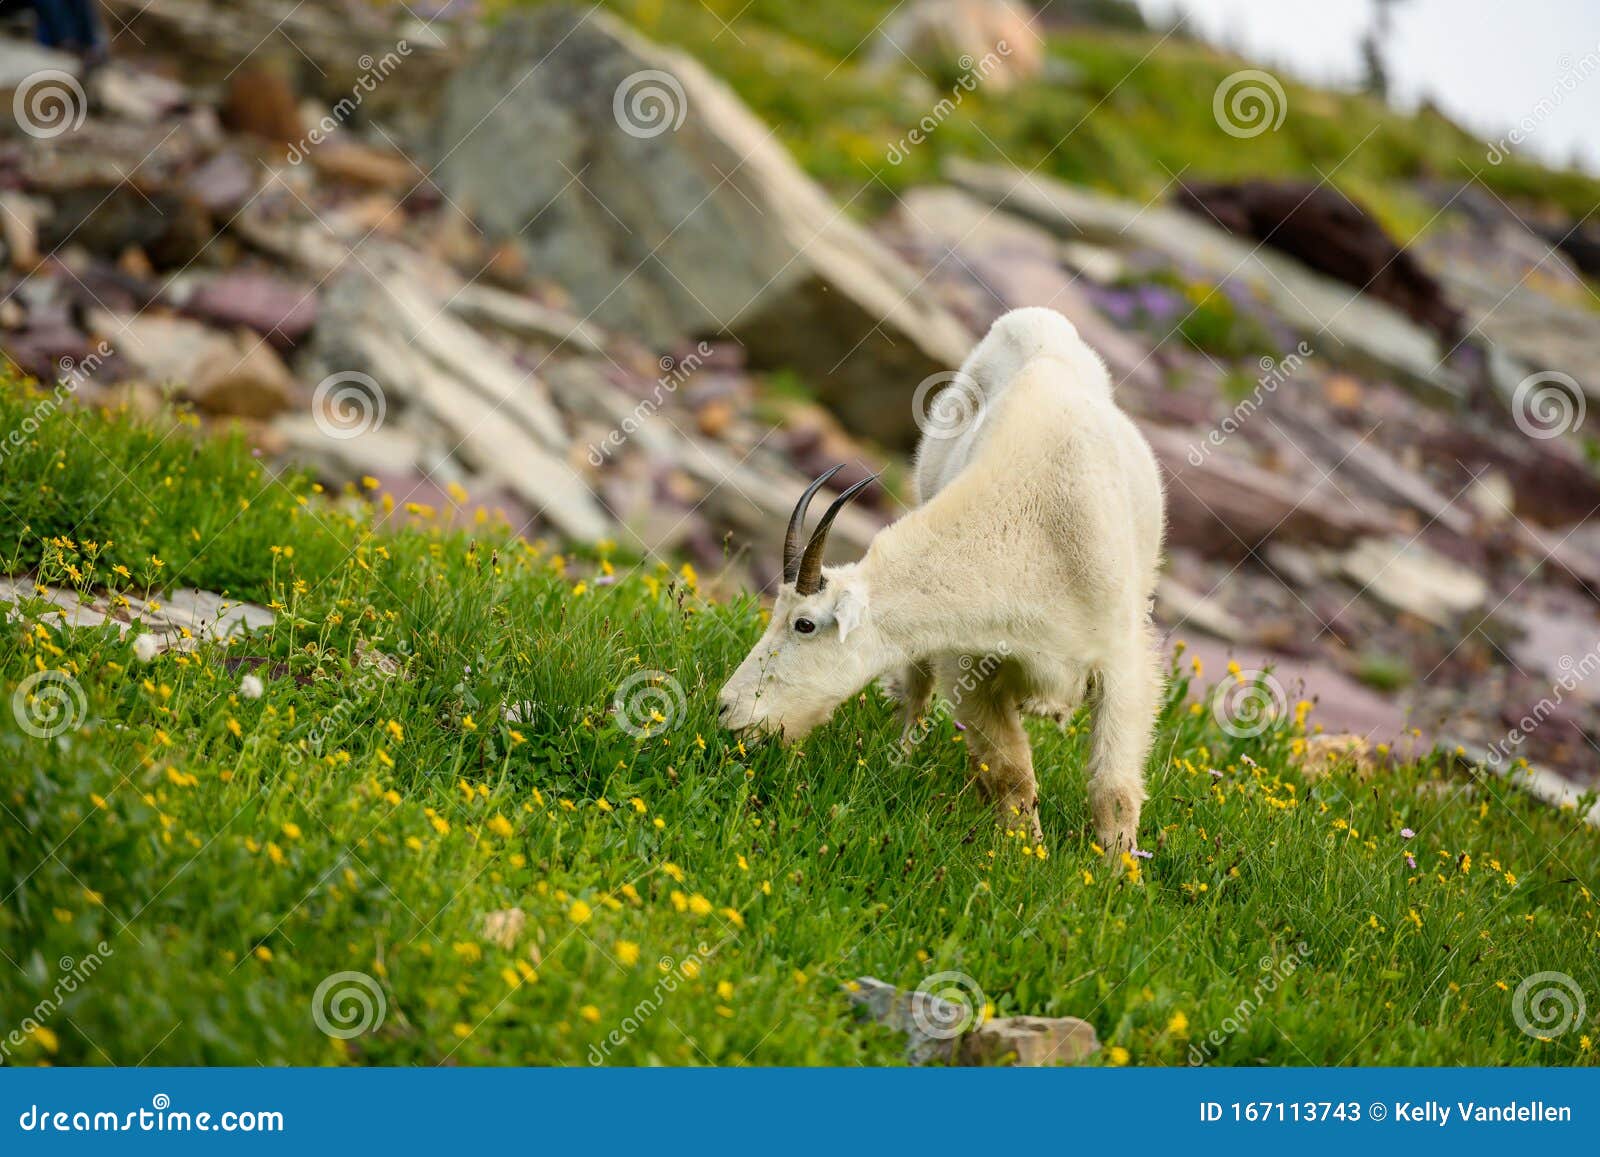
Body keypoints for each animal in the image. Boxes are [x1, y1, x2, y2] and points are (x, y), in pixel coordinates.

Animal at [717, 307, 1166, 858]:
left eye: (804, 624)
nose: (727, 709)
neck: (1034, 531)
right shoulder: (970, 661)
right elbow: (1011, 774)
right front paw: (1021, 856)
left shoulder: (1122, 661)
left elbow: (1113, 792)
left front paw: (1115, 874)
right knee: (916, 691)